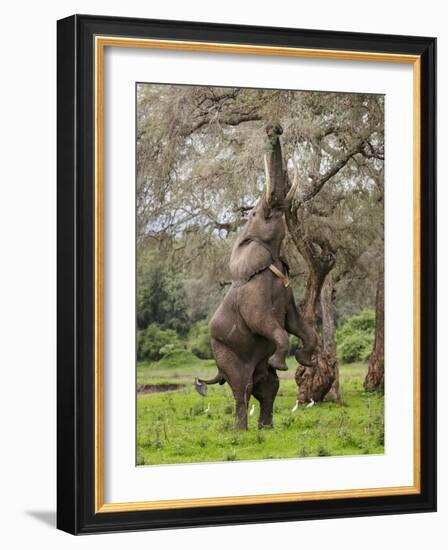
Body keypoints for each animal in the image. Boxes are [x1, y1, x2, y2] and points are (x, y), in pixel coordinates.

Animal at [194, 125, 316, 432]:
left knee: (268, 387)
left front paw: (304, 360)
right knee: (243, 388)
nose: (275, 128)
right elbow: (267, 324)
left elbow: (297, 324)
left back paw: (267, 429)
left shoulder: (288, 292)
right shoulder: (252, 295)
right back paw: (241, 431)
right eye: (256, 213)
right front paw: (283, 362)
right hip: (224, 351)